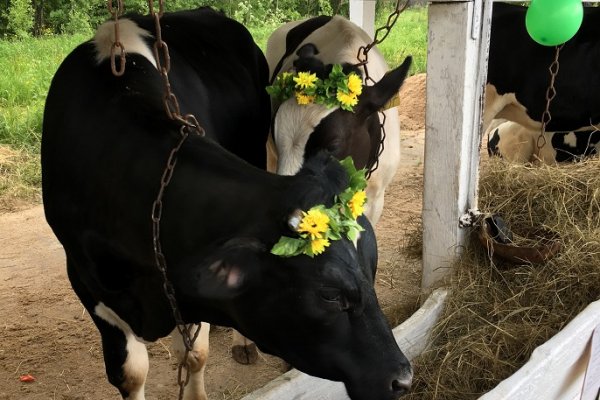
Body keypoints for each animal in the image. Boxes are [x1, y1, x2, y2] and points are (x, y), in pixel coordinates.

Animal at [41, 7, 412, 400]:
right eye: (329, 295)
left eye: (333, 144)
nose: (402, 377)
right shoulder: (88, 284)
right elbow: (130, 373)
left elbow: (193, 355)